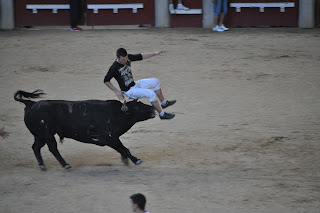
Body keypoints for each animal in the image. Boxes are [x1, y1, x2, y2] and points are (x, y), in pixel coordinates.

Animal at [13, 90, 156, 170]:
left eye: (141, 103)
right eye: (136, 108)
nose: (152, 108)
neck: (116, 113)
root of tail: (30, 104)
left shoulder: (113, 138)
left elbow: (122, 149)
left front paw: (125, 160)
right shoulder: (109, 138)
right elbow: (124, 149)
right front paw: (136, 160)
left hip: (40, 135)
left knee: (36, 147)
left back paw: (43, 165)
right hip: (46, 134)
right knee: (52, 148)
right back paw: (65, 165)